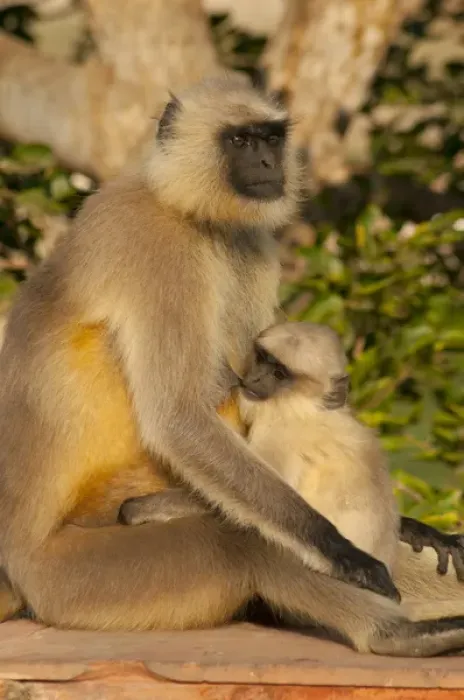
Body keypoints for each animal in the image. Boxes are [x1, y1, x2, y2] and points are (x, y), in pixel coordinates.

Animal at [1, 74, 464, 655]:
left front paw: (414, 528)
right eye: (240, 141)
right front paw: (339, 548)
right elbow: (179, 417)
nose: (268, 163)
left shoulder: (249, 242)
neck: (186, 210)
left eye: (270, 138)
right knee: (245, 540)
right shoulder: (155, 243)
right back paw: (397, 636)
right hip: (77, 579)